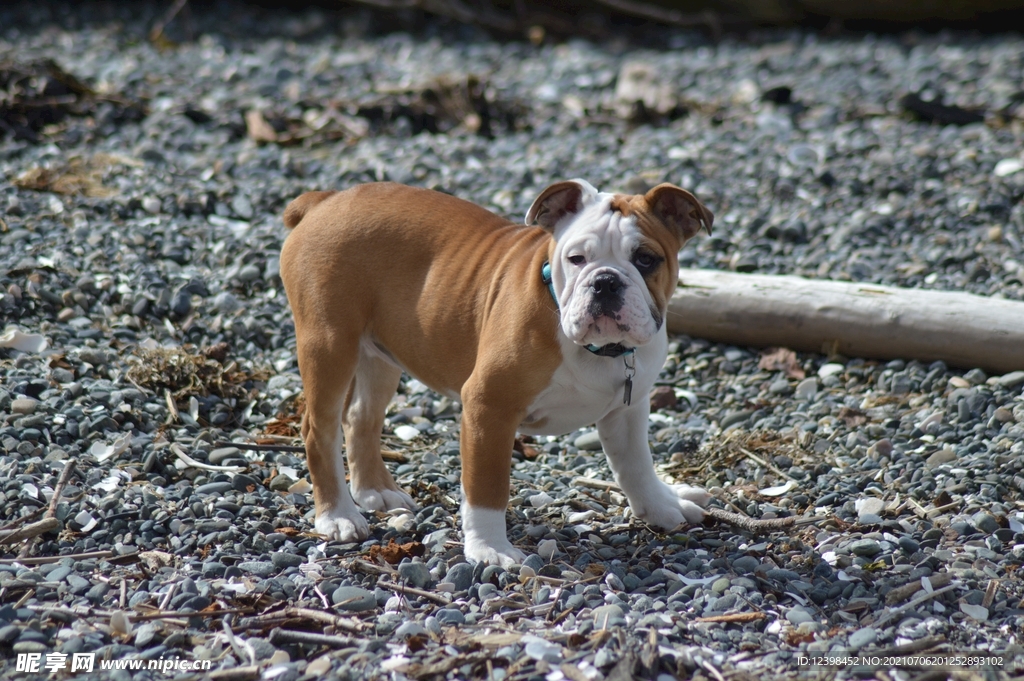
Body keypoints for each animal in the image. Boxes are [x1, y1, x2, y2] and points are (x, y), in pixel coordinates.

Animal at [278, 178, 712, 565]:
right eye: (576, 259)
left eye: (646, 259)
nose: (605, 282)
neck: (600, 350)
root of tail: (324, 201)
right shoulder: (489, 407)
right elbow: (487, 486)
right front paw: (489, 548)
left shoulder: (628, 407)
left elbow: (637, 465)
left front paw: (661, 506)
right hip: (330, 343)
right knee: (319, 429)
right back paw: (338, 515)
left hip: (380, 357)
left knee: (361, 417)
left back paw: (375, 491)